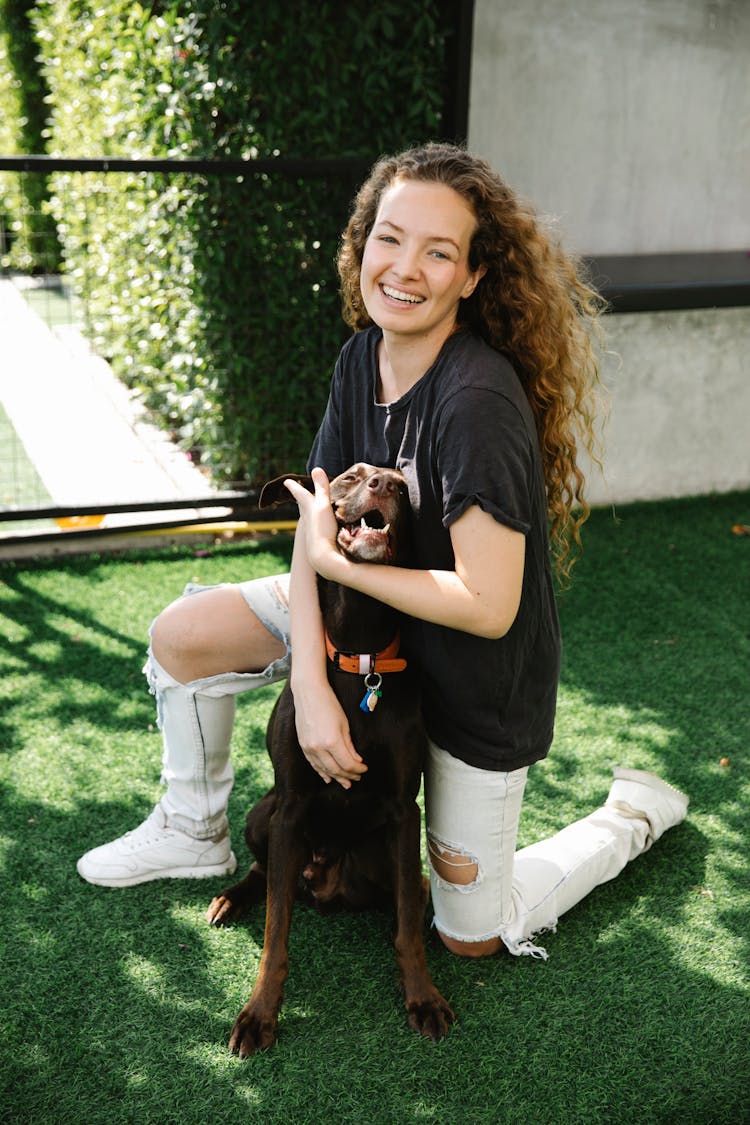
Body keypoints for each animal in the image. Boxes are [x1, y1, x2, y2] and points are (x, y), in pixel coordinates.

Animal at [203, 461, 458, 1057]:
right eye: (351, 476)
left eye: (402, 486)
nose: (384, 485)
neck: (361, 660)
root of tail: (323, 881)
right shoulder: (291, 808)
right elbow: (276, 935)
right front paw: (259, 1014)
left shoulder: (403, 810)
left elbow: (407, 928)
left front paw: (423, 998)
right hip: (264, 815)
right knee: (265, 872)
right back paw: (230, 899)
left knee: (410, 896)